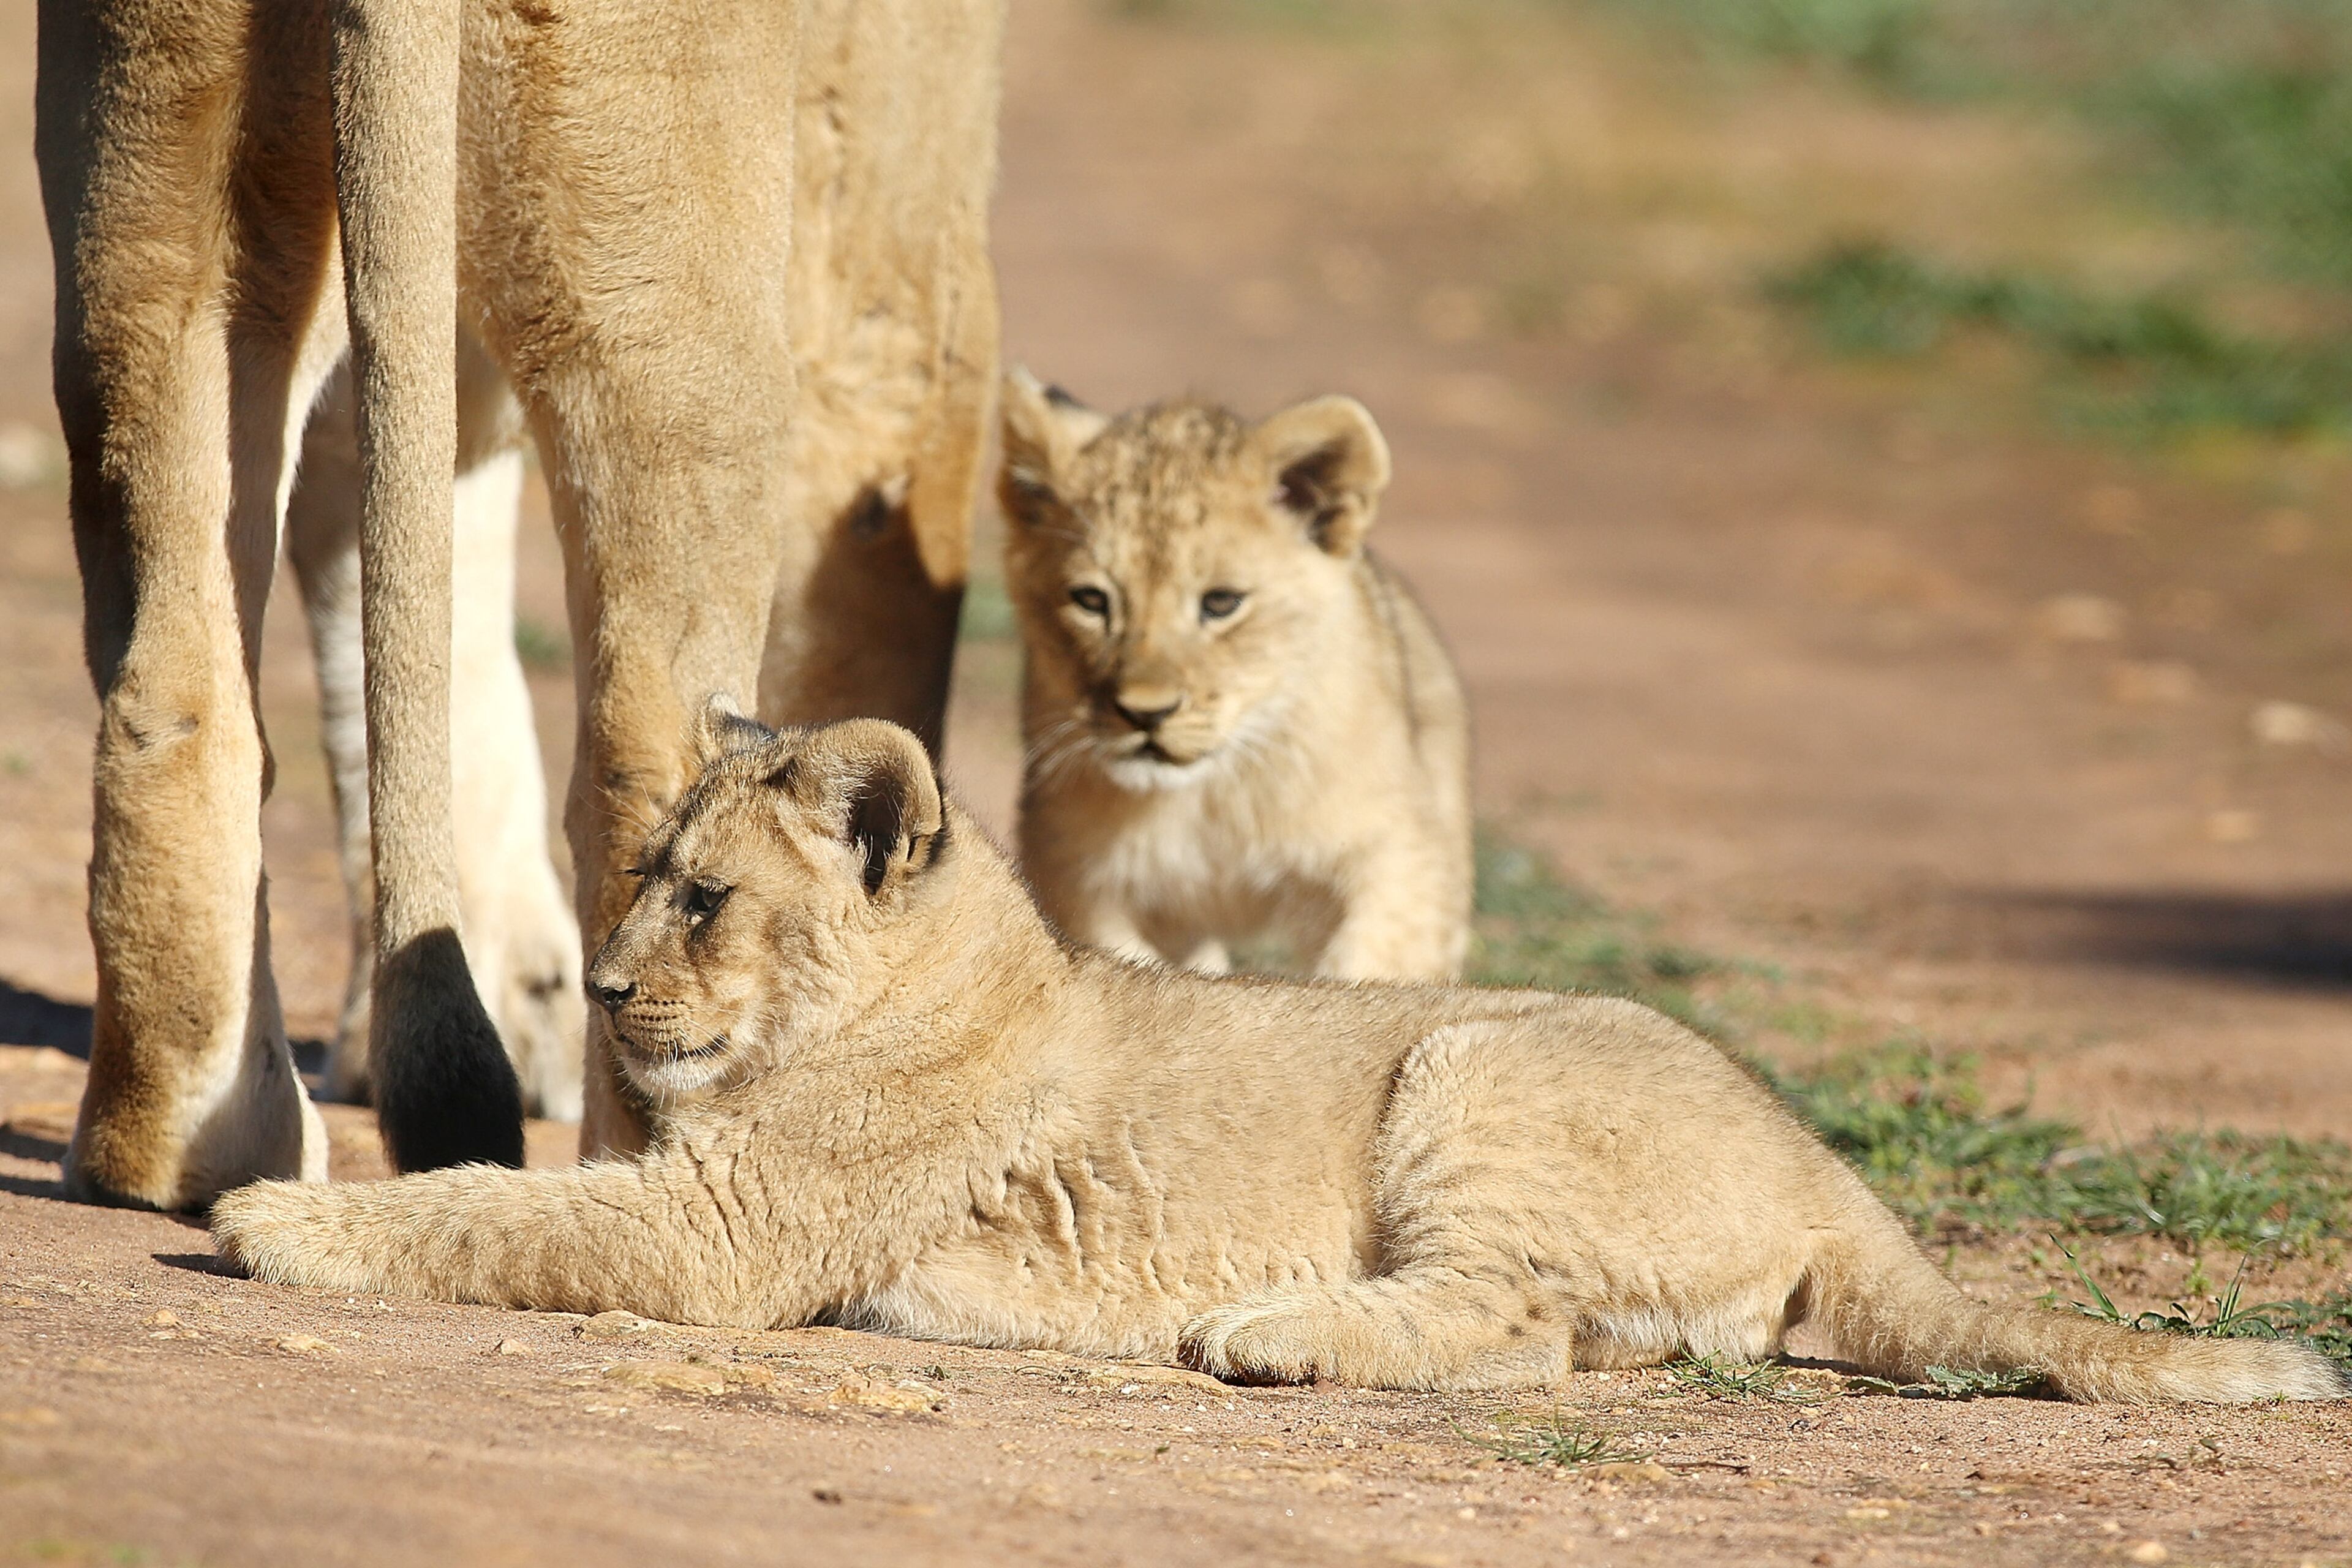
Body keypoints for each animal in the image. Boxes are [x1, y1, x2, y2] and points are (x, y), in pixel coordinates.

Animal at [41, 0, 1000, 1206]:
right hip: (665, 272)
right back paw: (647, 1150)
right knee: (650, 747)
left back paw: (188, 1147)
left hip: (157, 191)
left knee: (175, 680)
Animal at [212, 711, 2345, 1403]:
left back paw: (1262, 1328)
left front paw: (273, 1222)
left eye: (708, 900)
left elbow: (497, 1215)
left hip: (1468, 1066)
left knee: (1512, 1326)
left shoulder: (720, 1236)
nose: (611, 997)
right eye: (639, 879)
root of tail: (1832, 1166)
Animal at [1000, 371, 1473, 981]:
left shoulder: (1403, 851)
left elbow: (1371, 966)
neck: (1212, 796)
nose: (1146, 714)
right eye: (1091, 601)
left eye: (1221, 603)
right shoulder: (1071, 872)